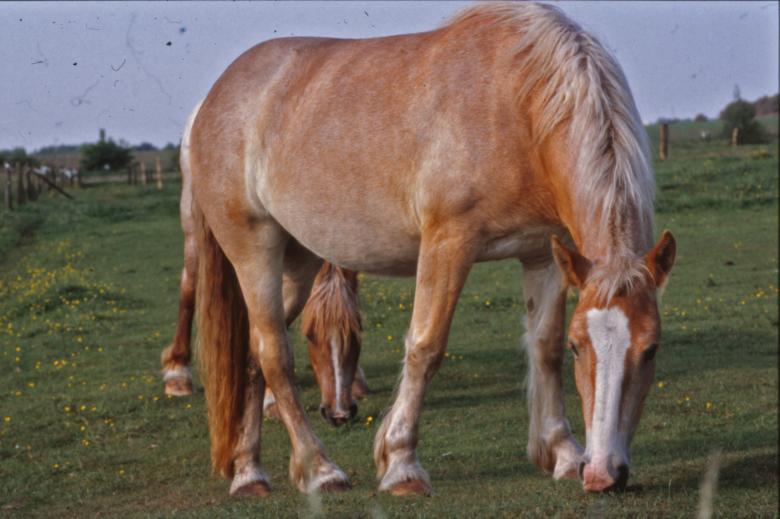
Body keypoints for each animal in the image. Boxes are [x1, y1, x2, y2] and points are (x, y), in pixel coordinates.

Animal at [159, 101, 367, 426]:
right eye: (310, 335)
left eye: (357, 330)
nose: (338, 414)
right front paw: (271, 401)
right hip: (194, 223)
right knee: (189, 286)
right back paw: (178, 373)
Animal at [189, 2, 677, 496]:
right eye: (582, 348)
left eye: (652, 348)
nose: (603, 474)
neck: (520, 105)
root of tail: (216, 97)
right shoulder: (449, 241)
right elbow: (426, 346)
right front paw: (401, 463)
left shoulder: (545, 254)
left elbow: (543, 346)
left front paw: (560, 452)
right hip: (255, 250)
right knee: (274, 354)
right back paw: (320, 469)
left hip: (299, 263)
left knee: (252, 355)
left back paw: (249, 472)